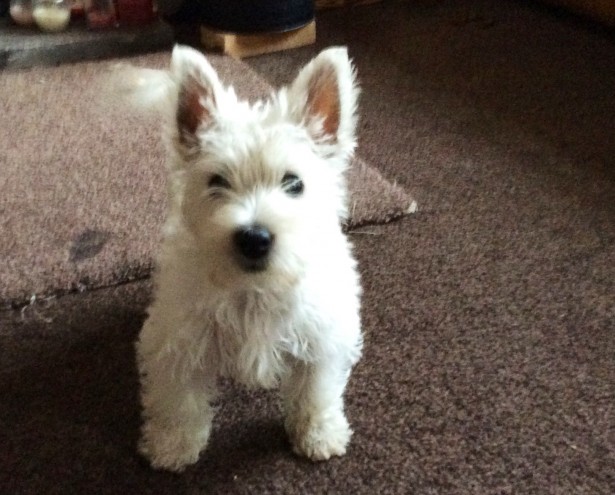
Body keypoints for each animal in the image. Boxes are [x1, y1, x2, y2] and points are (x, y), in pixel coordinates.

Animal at [130, 45, 360, 472]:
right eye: (217, 182)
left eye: (294, 183)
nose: (255, 238)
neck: (254, 289)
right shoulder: (177, 339)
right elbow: (178, 398)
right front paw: (173, 445)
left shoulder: (321, 336)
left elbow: (315, 390)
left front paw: (318, 435)